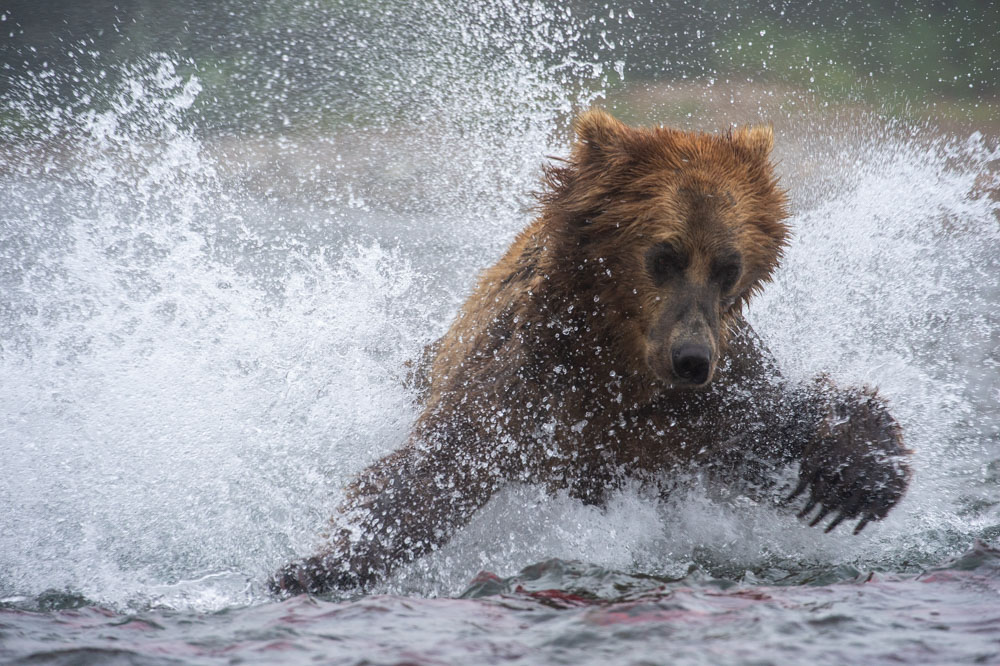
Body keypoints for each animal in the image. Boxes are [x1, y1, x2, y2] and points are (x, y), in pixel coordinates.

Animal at [271, 110, 911, 595]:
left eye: (728, 265)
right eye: (664, 254)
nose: (690, 359)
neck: (616, 359)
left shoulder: (710, 399)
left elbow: (775, 419)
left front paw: (862, 471)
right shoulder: (527, 382)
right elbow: (436, 471)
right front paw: (315, 567)